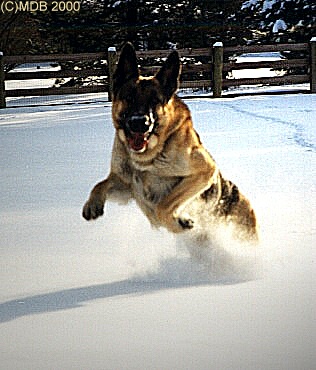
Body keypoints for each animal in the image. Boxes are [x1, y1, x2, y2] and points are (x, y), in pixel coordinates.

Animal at [82, 42, 258, 241]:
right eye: (129, 98)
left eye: (154, 101)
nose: (139, 123)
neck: (147, 158)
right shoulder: (126, 185)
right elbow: (101, 184)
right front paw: (92, 204)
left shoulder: (204, 170)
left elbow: (163, 205)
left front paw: (179, 222)